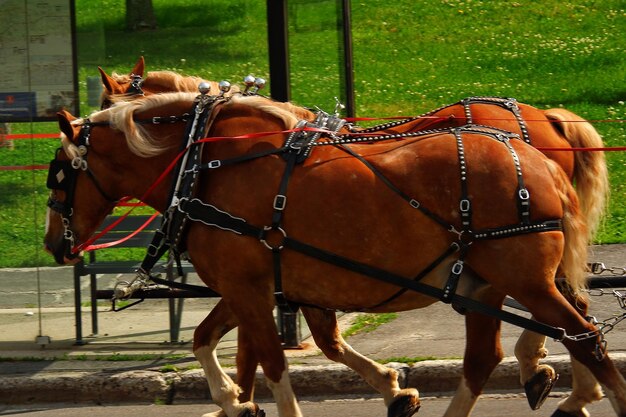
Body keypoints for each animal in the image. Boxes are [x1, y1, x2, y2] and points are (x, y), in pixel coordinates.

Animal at [45, 92, 624, 416]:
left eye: (60, 173)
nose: (54, 243)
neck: (205, 166)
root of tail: (538, 157)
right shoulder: (262, 284)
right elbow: (214, 340)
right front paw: (235, 401)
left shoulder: (248, 286)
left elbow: (268, 359)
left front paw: (244, 400)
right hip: (485, 281)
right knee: (492, 357)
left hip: (521, 278)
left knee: (584, 336)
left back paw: (577, 388)